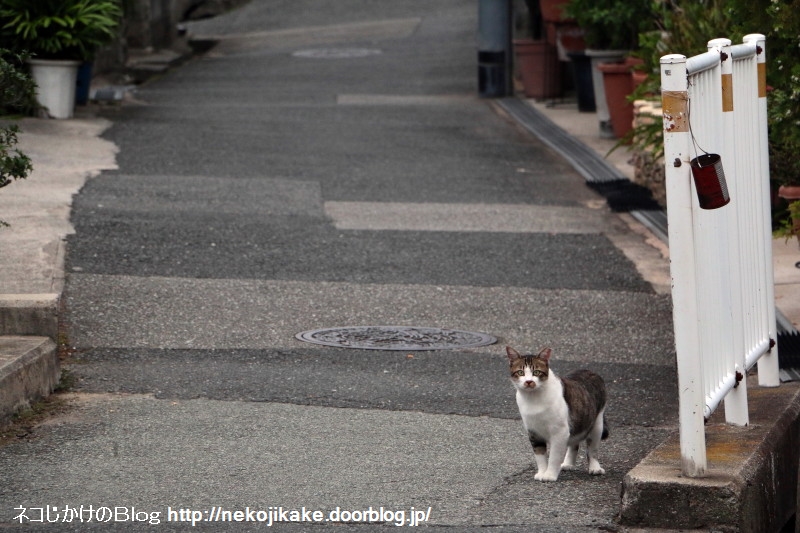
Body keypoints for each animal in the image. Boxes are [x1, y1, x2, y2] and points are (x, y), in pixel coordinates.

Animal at [506, 348, 608, 480]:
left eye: (536, 372)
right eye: (520, 372)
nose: (529, 381)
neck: (533, 399)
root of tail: (589, 371)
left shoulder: (560, 432)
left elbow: (554, 456)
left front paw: (550, 475)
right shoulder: (533, 432)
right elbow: (539, 455)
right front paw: (542, 472)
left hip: (597, 424)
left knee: (592, 449)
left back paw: (595, 467)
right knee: (574, 443)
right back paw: (568, 463)